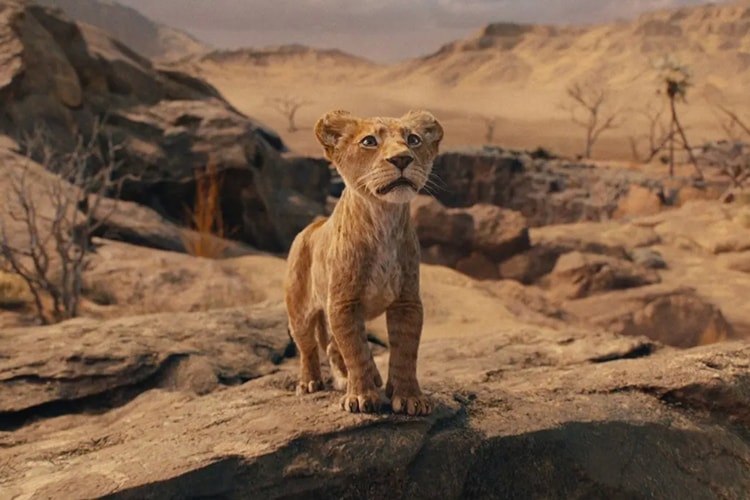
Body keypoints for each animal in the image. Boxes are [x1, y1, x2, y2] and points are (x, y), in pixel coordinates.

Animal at [284, 109, 444, 415]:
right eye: (369, 141)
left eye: (413, 139)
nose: (402, 159)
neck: (383, 219)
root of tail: (311, 226)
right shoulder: (343, 303)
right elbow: (356, 350)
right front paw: (360, 397)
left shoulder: (407, 302)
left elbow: (405, 351)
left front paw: (409, 397)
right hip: (300, 311)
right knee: (309, 347)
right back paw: (309, 382)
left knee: (333, 347)